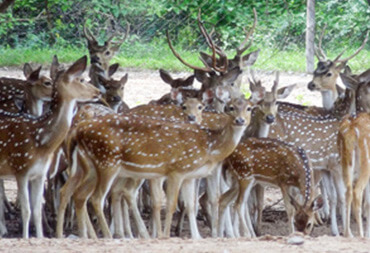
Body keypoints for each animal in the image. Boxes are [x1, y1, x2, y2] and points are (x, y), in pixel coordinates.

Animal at [0, 54, 99, 238]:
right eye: (81, 79)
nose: (98, 92)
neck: (41, 142)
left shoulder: (39, 174)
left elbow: (36, 210)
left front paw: (41, 236)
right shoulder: (21, 169)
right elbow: (27, 210)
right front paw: (25, 236)